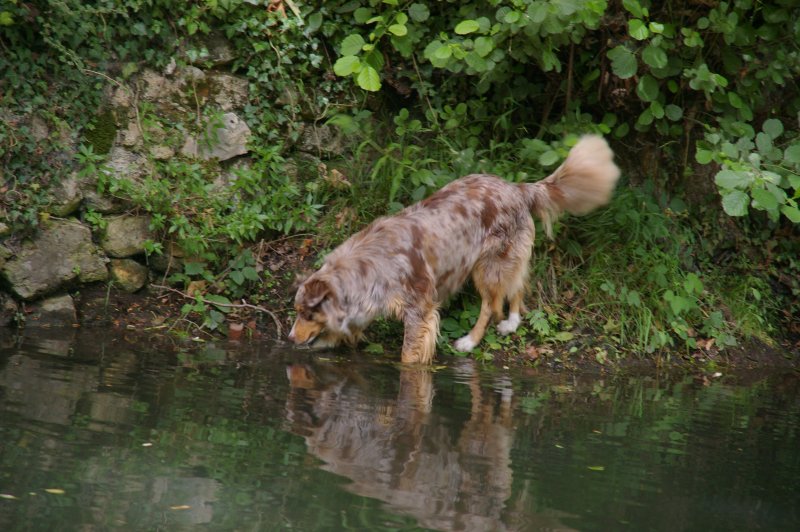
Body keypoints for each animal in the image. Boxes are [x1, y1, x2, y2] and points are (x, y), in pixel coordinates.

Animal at [288, 135, 620, 364]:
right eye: (298, 312)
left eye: (307, 314)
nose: (290, 338)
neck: (369, 268)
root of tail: (518, 188)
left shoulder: (419, 311)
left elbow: (409, 356)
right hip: (507, 259)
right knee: (518, 285)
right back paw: (511, 323)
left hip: (487, 266)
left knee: (491, 305)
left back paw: (469, 341)